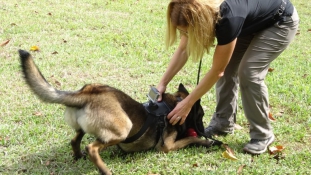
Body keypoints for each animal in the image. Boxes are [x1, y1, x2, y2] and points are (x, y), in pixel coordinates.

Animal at [18, 50, 218, 174]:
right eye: (201, 116)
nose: (205, 132)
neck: (172, 106)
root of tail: (87, 93)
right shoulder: (166, 146)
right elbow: (188, 139)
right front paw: (205, 142)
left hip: (86, 126)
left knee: (75, 140)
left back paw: (79, 156)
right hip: (123, 128)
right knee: (91, 147)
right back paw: (104, 169)